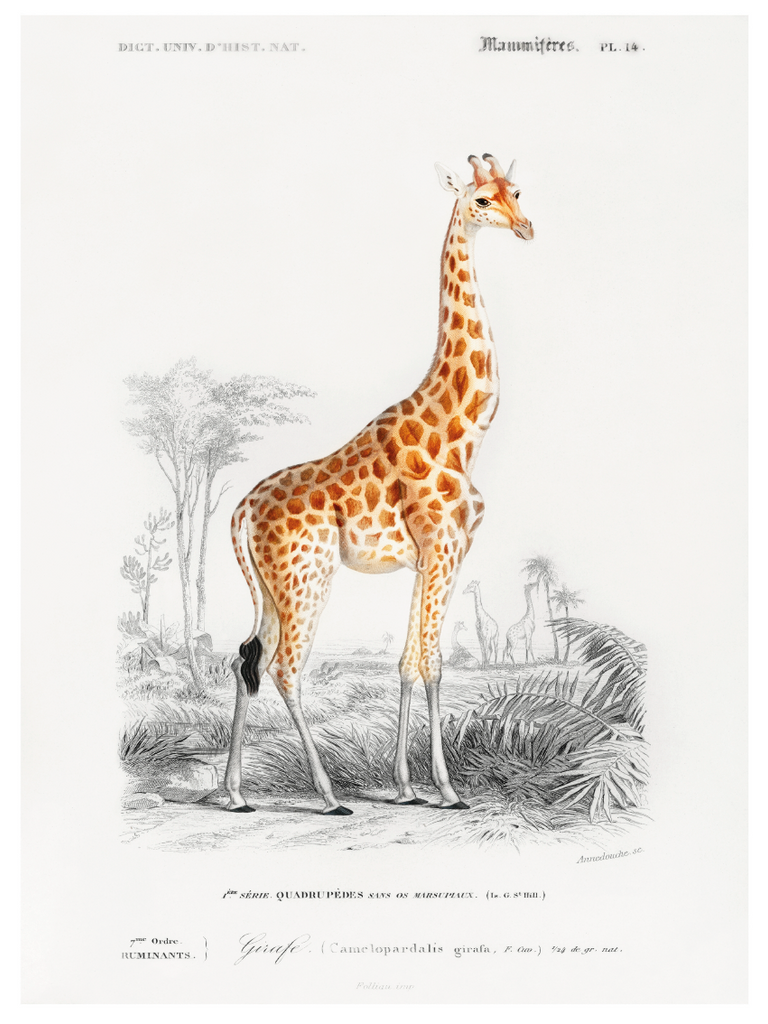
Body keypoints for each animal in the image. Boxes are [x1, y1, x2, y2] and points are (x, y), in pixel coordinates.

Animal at [224, 153, 533, 815]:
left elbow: (408, 663)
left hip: (271, 588)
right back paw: (328, 795)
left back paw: (233, 793)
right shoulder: (443, 548)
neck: (463, 431)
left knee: (243, 661)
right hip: (306, 579)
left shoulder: (432, 557)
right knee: (284, 669)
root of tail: (239, 512)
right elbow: (434, 663)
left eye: (516, 191)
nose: (526, 228)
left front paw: (406, 787)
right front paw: (447, 789)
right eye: (481, 200)